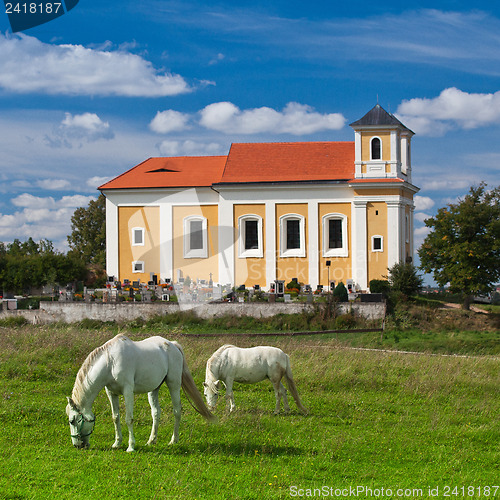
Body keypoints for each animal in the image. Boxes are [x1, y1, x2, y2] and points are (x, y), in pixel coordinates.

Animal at [66, 334, 213, 452]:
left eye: (72, 421)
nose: (77, 445)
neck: (111, 362)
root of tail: (173, 344)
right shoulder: (111, 393)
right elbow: (115, 417)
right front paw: (117, 443)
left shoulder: (127, 391)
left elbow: (128, 419)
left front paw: (131, 447)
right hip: (154, 389)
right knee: (156, 413)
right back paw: (151, 440)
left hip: (174, 384)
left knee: (177, 411)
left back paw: (173, 440)